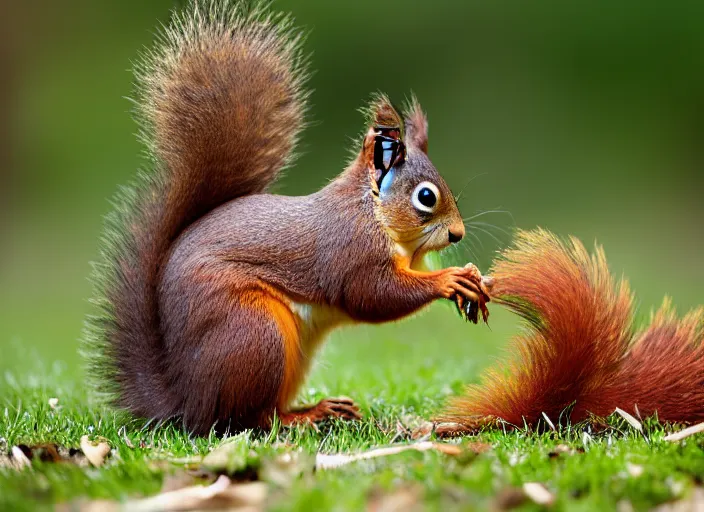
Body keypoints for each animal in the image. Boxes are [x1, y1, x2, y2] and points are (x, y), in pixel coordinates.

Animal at [81, 1, 490, 436]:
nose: (458, 234)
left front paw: (472, 279)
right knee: (249, 419)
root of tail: (183, 400)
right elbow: (372, 294)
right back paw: (307, 417)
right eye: (426, 197)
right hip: (254, 334)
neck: (374, 214)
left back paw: (321, 409)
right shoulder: (350, 248)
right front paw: (449, 280)